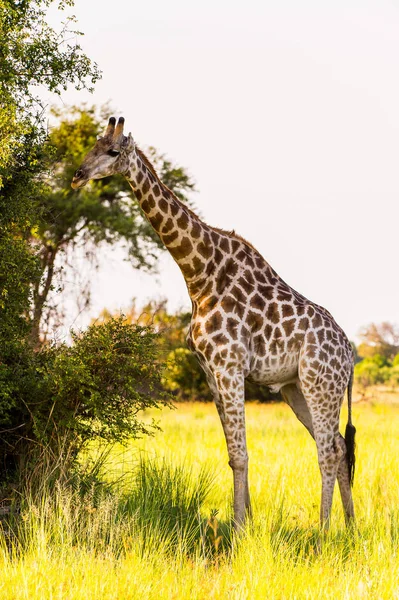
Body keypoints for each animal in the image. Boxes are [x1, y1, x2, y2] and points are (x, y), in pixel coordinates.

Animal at [72, 117, 356, 528]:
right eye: (92, 146)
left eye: (112, 151)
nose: (77, 176)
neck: (200, 274)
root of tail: (350, 354)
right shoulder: (209, 370)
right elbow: (231, 452)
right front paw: (247, 522)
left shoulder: (229, 366)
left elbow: (240, 453)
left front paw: (238, 528)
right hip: (296, 388)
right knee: (336, 443)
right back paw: (349, 527)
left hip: (321, 384)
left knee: (329, 450)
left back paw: (323, 530)